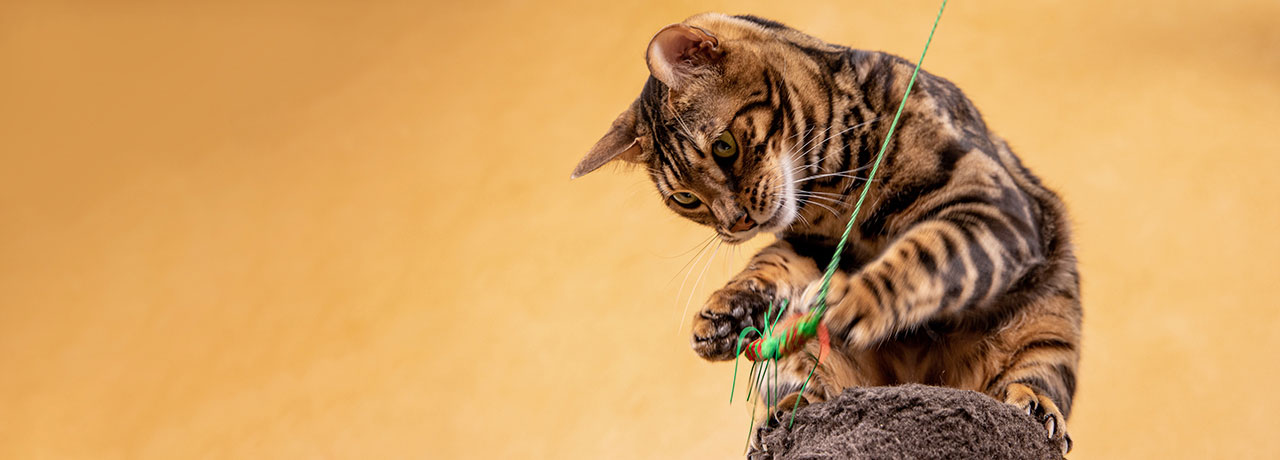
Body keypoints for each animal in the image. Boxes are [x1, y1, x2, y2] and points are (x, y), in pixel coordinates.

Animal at [573, 12, 1080, 456]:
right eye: (685, 198)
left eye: (724, 148)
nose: (735, 223)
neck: (833, 185)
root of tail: (917, 383)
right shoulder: (812, 246)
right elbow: (771, 264)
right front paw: (722, 315)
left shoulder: (990, 205)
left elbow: (923, 253)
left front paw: (855, 301)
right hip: (791, 361)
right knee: (811, 384)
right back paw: (786, 413)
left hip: (1046, 327)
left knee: (1031, 381)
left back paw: (1035, 408)